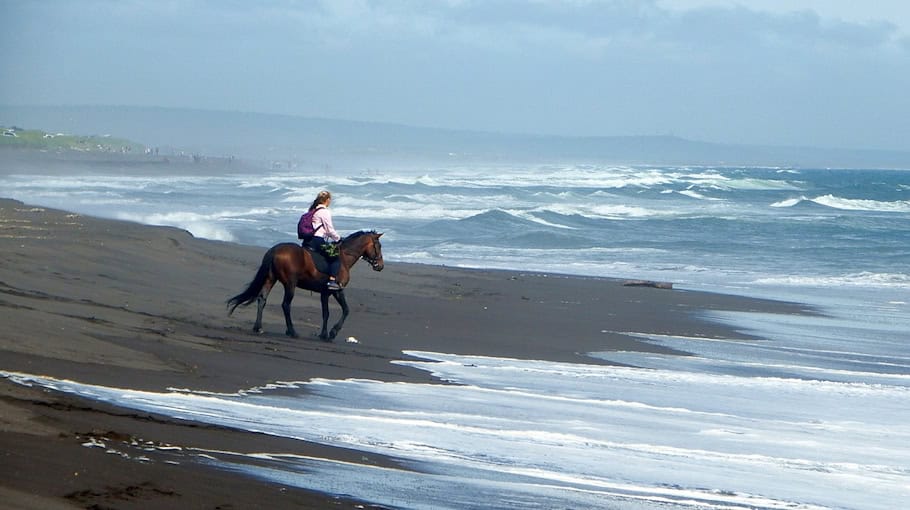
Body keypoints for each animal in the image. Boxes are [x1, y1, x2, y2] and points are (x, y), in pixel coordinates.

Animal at [230, 231, 386, 342]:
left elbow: (326, 313)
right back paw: (292, 331)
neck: (343, 258)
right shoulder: (337, 290)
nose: (380, 266)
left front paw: (324, 334)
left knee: (262, 299)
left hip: (270, 279)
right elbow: (346, 310)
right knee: (286, 305)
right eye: (378, 246)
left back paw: (258, 327)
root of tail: (274, 250)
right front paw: (332, 332)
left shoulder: (325, 293)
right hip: (290, 284)